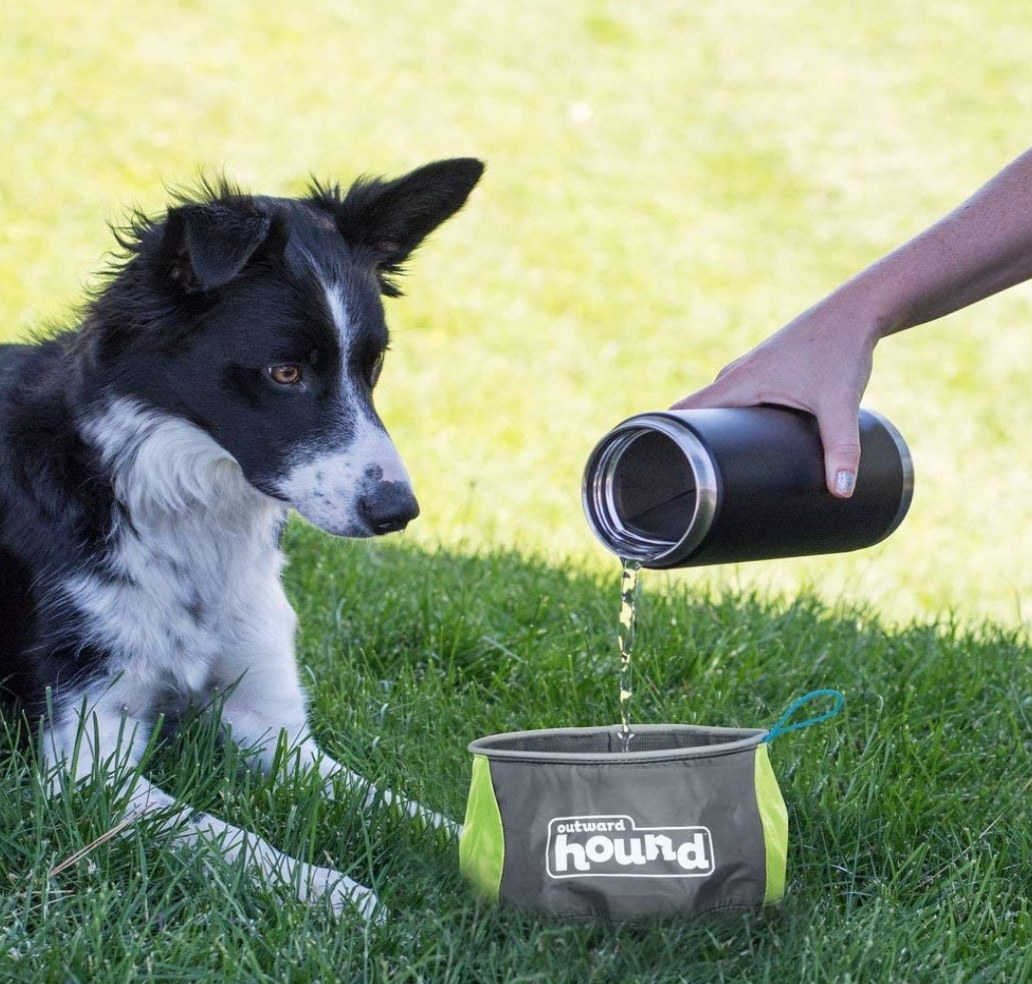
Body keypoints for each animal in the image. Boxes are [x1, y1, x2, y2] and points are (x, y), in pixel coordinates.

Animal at [0, 156, 482, 916]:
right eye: (285, 372)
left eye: (372, 366)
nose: (398, 512)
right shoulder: (83, 758)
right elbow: (224, 832)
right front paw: (333, 890)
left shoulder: (272, 724)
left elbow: (403, 807)